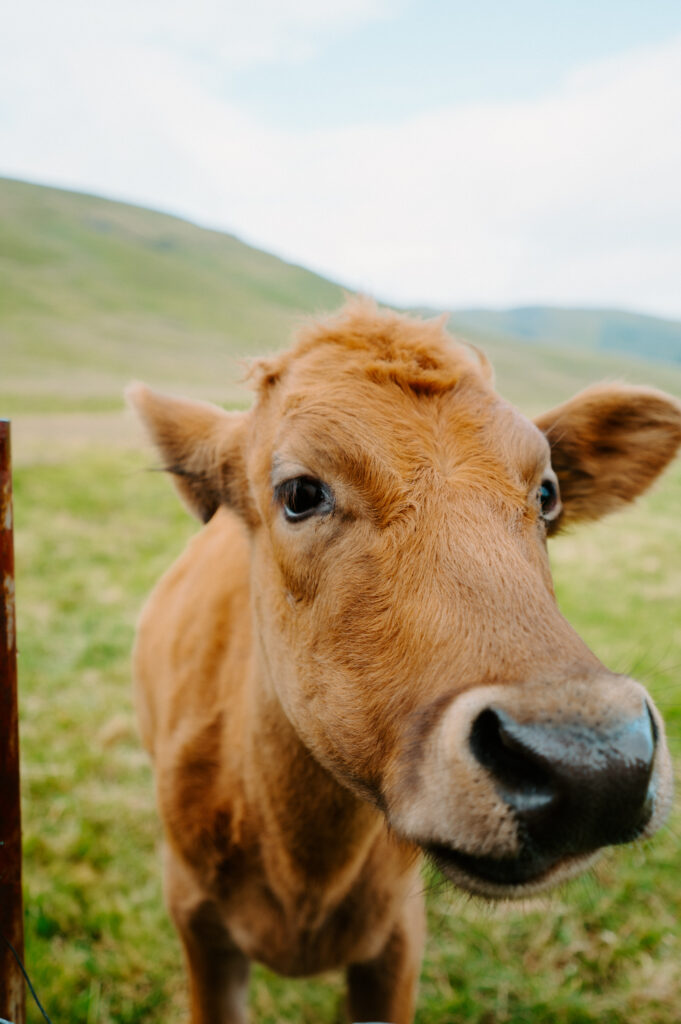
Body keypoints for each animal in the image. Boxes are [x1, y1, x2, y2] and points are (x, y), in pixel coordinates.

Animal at [128, 300, 680, 1024]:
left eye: (548, 495)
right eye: (299, 491)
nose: (595, 763)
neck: (303, 874)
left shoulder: (394, 941)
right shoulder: (197, 921)